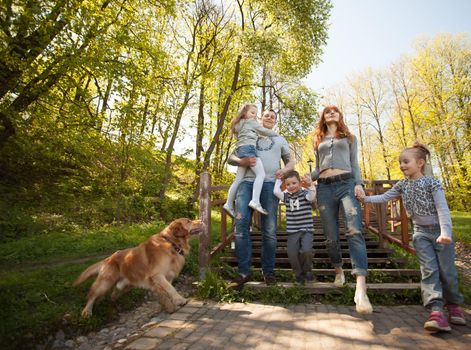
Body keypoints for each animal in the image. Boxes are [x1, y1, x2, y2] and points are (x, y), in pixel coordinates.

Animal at [74, 217, 203, 316]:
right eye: (188, 221)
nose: (201, 220)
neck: (172, 243)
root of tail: (108, 258)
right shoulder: (158, 275)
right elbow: (171, 289)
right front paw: (179, 300)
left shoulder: (167, 278)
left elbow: (166, 292)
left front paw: (170, 307)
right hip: (105, 282)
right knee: (92, 295)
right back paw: (87, 311)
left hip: (124, 286)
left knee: (112, 294)